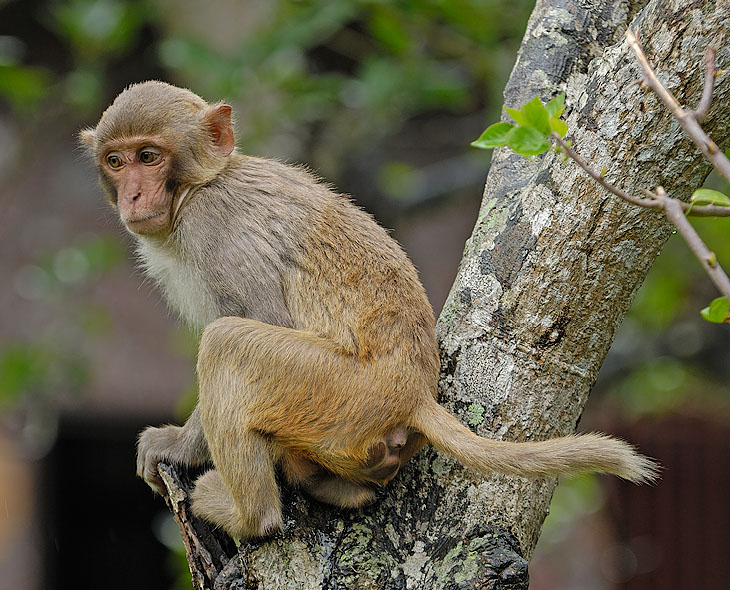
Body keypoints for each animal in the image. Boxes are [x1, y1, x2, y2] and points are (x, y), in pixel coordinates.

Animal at [78, 82, 656, 540]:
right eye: (116, 160)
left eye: (149, 156)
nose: (132, 195)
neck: (198, 188)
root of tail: (415, 390)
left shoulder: (212, 227)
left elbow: (261, 317)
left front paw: (176, 446)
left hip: (341, 392)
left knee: (227, 343)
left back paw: (251, 515)